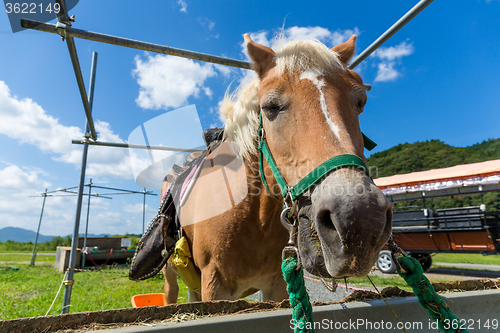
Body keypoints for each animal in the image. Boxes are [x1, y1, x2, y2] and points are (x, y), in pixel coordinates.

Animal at [159, 33, 390, 300]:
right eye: (270, 107)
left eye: (360, 102)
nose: (360, 220)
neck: (252, 216)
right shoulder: (214, 285)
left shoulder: (277, 285)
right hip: (171, 277)